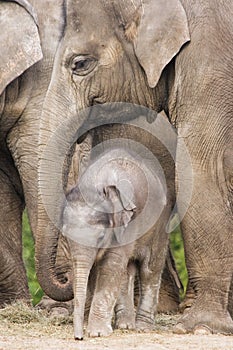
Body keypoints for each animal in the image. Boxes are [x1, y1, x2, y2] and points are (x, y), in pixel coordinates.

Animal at [62, 143, 175, 340]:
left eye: (101, 237)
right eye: (66, 237)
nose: (78, 337)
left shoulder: (128, 222)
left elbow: (111, 265)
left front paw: (98, 333)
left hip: (160, 223)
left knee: (149, 268)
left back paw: (142, 327)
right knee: (127, 270)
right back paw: (125, 325)